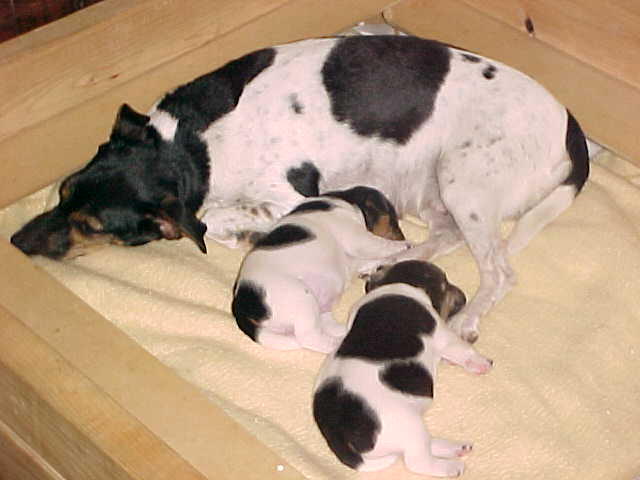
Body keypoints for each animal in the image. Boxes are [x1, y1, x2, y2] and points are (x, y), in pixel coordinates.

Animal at [232, 186, 408, 354]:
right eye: (393, 220)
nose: (403, 237)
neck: (345, 201)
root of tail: (239, 304)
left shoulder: (354, 259)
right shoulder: (357, 238)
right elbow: (381, 245)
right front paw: (405, 245)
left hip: (319, 306)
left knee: (328, 326)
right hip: (301, 298)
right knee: (310, 338)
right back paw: (338, 343)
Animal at [312, 262, 492, 476]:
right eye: (445, 284)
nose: (464, 296)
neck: (395, 286)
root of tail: (334, 431)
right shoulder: (444, 335)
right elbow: (463, 351)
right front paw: (482, 363)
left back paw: (455, 448)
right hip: (410, 425)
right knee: (418, 461)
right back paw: (451, 466)